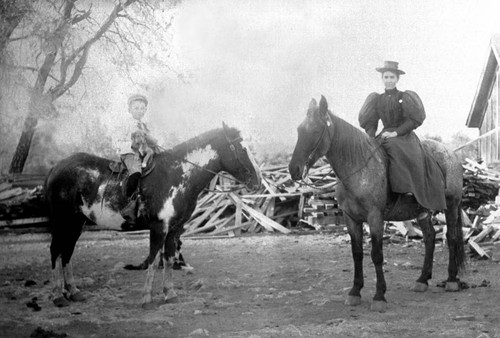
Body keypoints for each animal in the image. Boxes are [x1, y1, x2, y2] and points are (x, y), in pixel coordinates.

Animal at [45, 123, 262, 308]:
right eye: (241, 148)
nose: (258, 181)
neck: (175, 176)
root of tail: (56, 168)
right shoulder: (159, 228)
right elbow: (153, 260)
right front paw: (147, 299)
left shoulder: (174, 230)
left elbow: (168, 259)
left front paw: (170, 294)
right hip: (63, 221)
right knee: (56, 251)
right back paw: (57, 296)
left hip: (75, 223)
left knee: (67, 252)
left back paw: (74, 292)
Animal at [288, 95, 466, 312]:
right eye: (299, 130)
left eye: (315, 131)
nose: (293, 169)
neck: (358, 168)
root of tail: (452, 155)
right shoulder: (351, 219)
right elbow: (357, 253)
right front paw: (355, 292)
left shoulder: (375, 217)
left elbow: (376, 254)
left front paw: (379, 295)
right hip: (423, 210)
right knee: (430, 237)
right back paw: (422, 280)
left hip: (452, 206)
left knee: (452, 237)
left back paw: (451, 280)